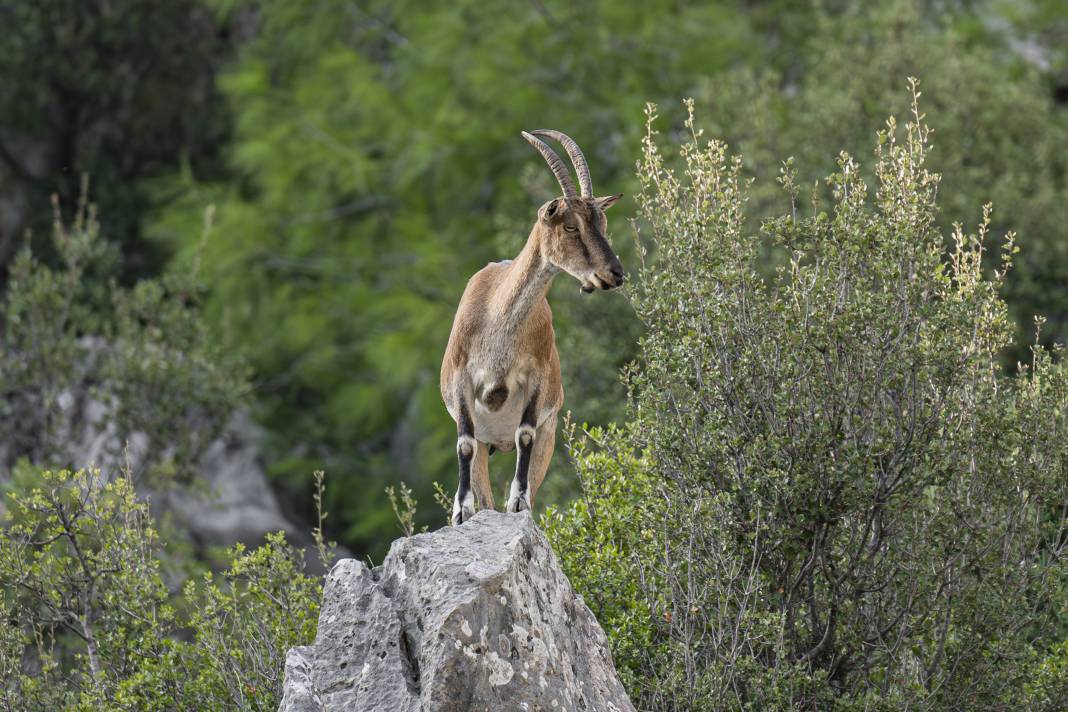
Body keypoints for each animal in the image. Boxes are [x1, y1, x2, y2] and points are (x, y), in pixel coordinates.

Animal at [440, 130, 623, 527]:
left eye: (602, 223)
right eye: (570, 225)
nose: (614, 274)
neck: (496, 322)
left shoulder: (536, 383)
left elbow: (524, 434)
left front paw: (519, 502)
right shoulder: (462, 382)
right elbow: (463, 442)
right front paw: (460, 511)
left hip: (549, 435)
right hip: (486, 444)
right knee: (482, 481)